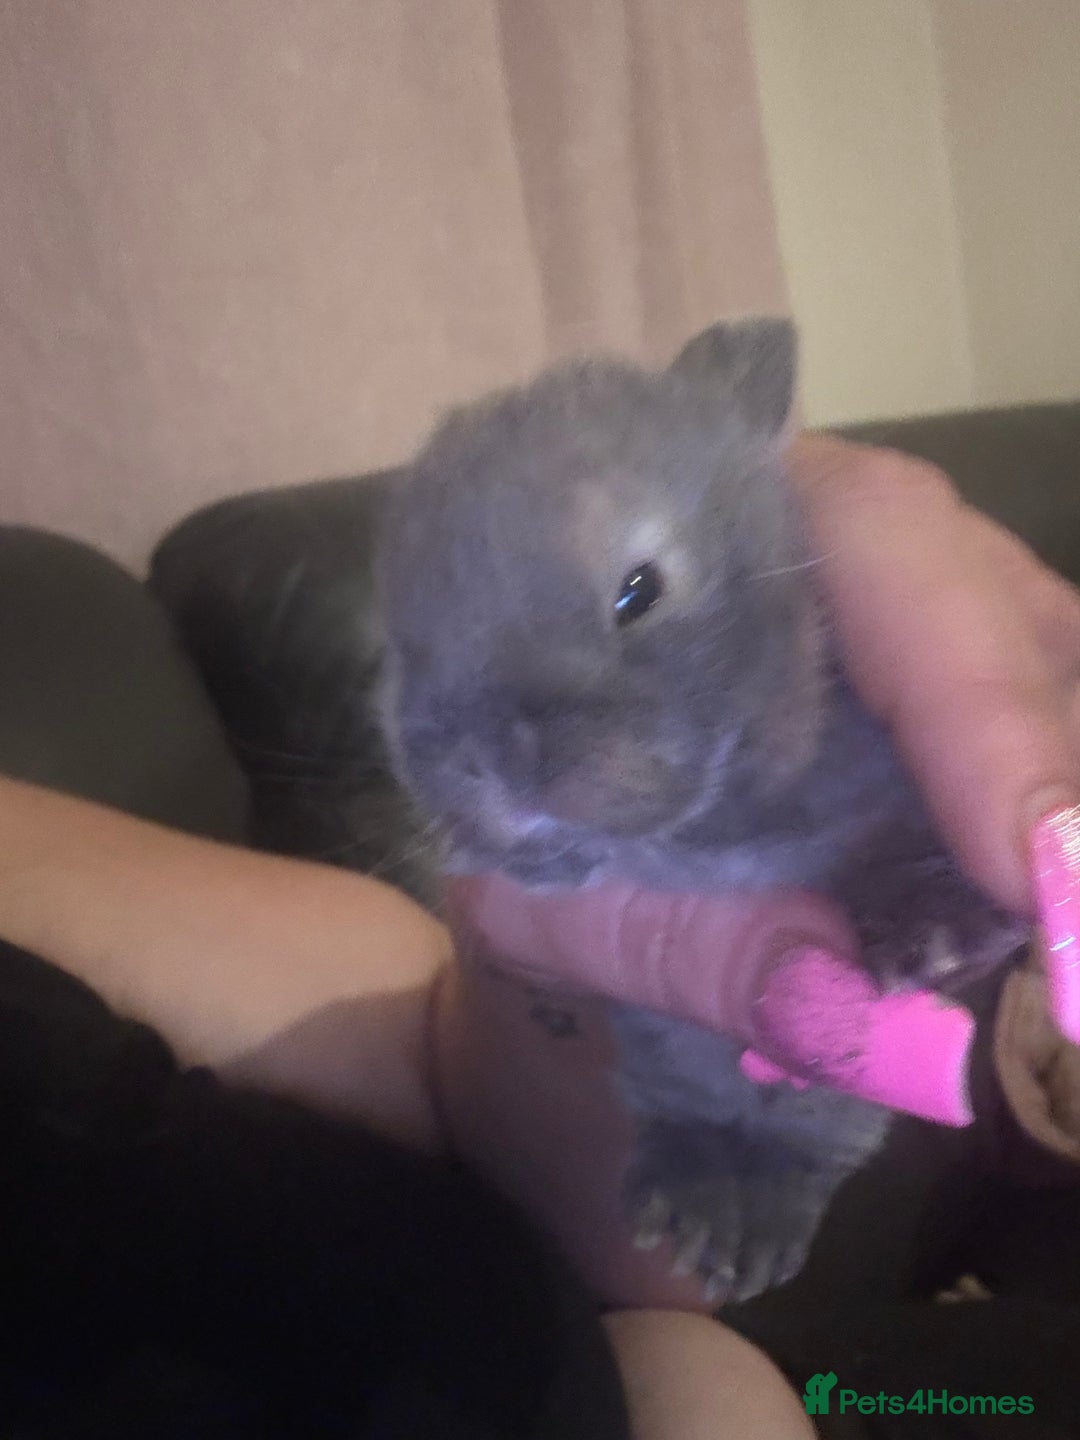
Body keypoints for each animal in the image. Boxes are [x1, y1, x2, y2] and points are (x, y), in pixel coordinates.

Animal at [373, 317, 1030, 1304]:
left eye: (639, 590)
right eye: (399, 646)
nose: (490, 761)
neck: (714, 833)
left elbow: (898, 860)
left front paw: (942, 934)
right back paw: (695, 1209)